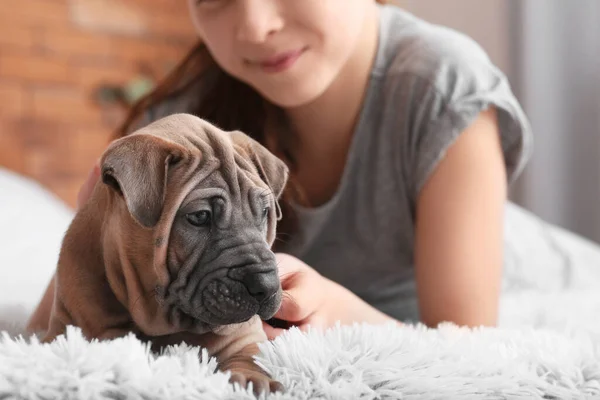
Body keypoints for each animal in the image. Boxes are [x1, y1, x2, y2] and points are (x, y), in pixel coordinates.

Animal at [41, 112, 288, 394]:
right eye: (200, 217)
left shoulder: (243, 335)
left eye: (265, 212)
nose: (266, 285)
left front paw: (253, 379)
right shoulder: (66, 328)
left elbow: (249, 355)